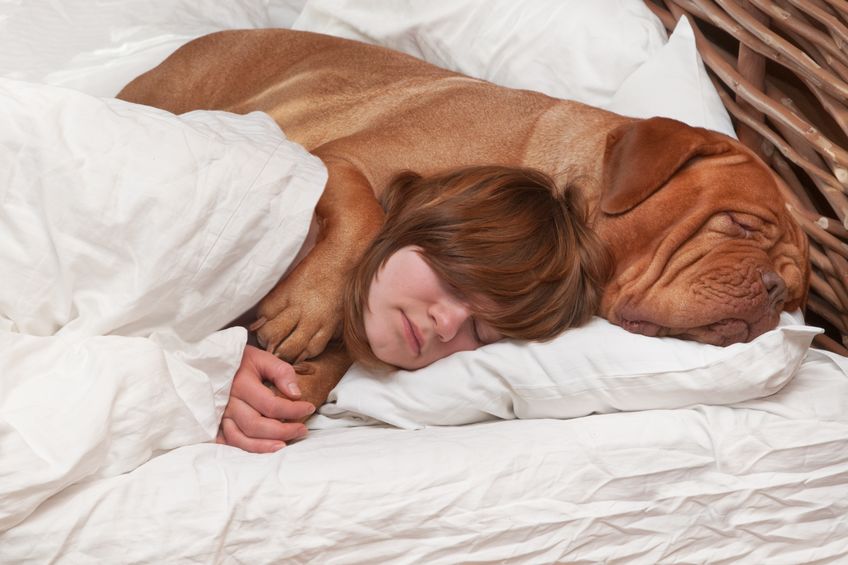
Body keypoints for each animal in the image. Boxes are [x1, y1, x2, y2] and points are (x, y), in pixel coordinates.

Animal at [117, 28, 808, 406]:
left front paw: (302, 377)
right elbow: (363, 211)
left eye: (797, 296)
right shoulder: (336, 160)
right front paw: (309, 309)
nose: (773, 290)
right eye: (741, 225)